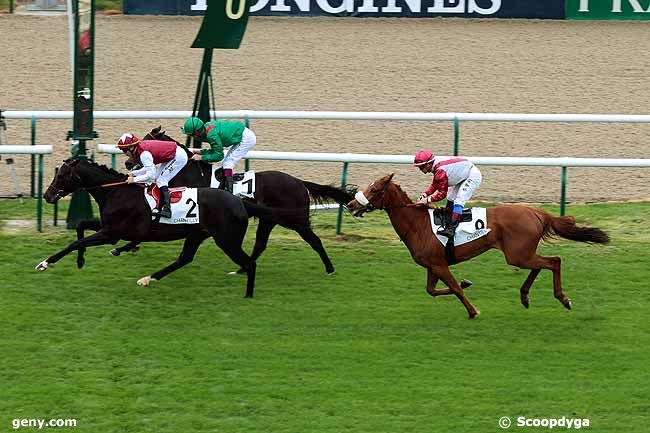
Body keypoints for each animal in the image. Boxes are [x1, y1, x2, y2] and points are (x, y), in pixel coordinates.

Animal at [41, 158, 306, 296]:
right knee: (184, 259)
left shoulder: (112, 233)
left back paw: (248, 294)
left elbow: (76, 240)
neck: (117, 192)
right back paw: (148, 279)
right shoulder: (109, 228)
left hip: (227, 240)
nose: (47, 195)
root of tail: (239, 201)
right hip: (198, 235)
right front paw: (80, 261)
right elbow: (81, 226)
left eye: (62, 174)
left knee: (249, 263)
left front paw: (45, 263)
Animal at [79, 125, 354, 274]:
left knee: (314, 240)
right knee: (260, 245)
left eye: (148, 139)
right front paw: (122, 247)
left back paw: (330, 269)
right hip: (269, 220)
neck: (190, 172)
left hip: (295, 221)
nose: (127, 164)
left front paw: (122, 247)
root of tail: (299, 182)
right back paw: (242, 268)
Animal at [346, 172, 612, 318]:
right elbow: (432, 290)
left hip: (517, 254)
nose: (350, 204)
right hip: (521, 253)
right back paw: (525, 296)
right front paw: (466, 283)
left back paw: (563, 299)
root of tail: (536, 212)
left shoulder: (439, 264)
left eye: (375, 189)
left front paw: (473, 311)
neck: (417, 224)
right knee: (542, 264)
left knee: (554, 261)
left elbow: (454, 288)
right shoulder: (433, 265)